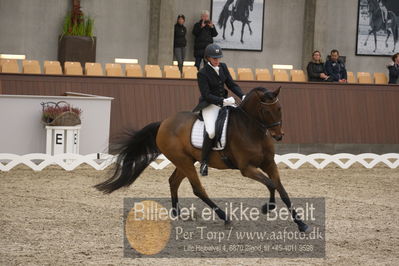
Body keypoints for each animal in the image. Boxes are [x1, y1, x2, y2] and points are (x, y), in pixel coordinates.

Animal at [95, 88, 310, 233]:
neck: (252, 130)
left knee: (173, 181)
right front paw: (268, 207)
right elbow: (271, 185)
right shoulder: (246, 168)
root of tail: (164, 123)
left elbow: (282, 191)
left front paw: (301, 224)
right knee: (198, 189)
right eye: (266, 111)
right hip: (184, 161)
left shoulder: (269, 164)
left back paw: (177, 213)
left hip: (186, 161)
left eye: (280, 108)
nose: (278, 136)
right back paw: (225, 217)